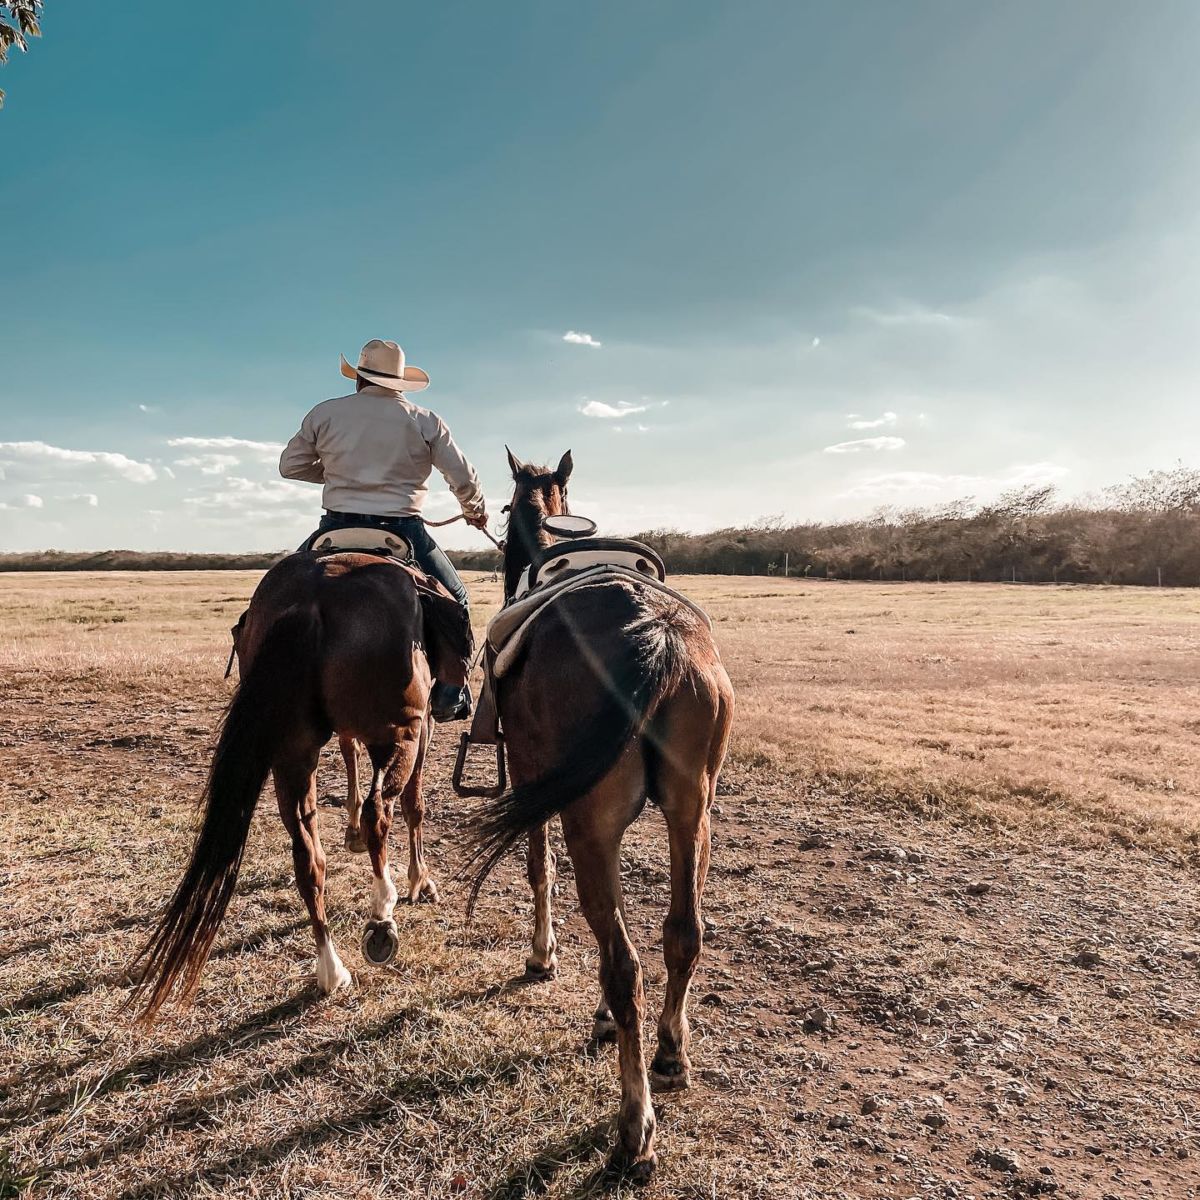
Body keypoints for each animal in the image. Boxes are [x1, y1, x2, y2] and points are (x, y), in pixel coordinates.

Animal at [131, 548, 470, 1019]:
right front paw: (421, 882)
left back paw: (331, 969)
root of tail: (309, 600)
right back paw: (381, 915)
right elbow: (413, 805)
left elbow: (349, 758)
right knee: (380, 812)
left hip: (293, 753)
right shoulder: (421, 730)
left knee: (307, 854)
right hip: (397, 734)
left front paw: (352, 836)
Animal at [464, 449, 735, 1179]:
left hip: (591, 825)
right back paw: (669, 1054)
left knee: (624, 963)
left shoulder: (534, 781)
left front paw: (542, 955)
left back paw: (634, 1125)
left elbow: (538, 870)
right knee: (682, 933)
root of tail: (656, 637)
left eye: (506, 505)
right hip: (692, 813)